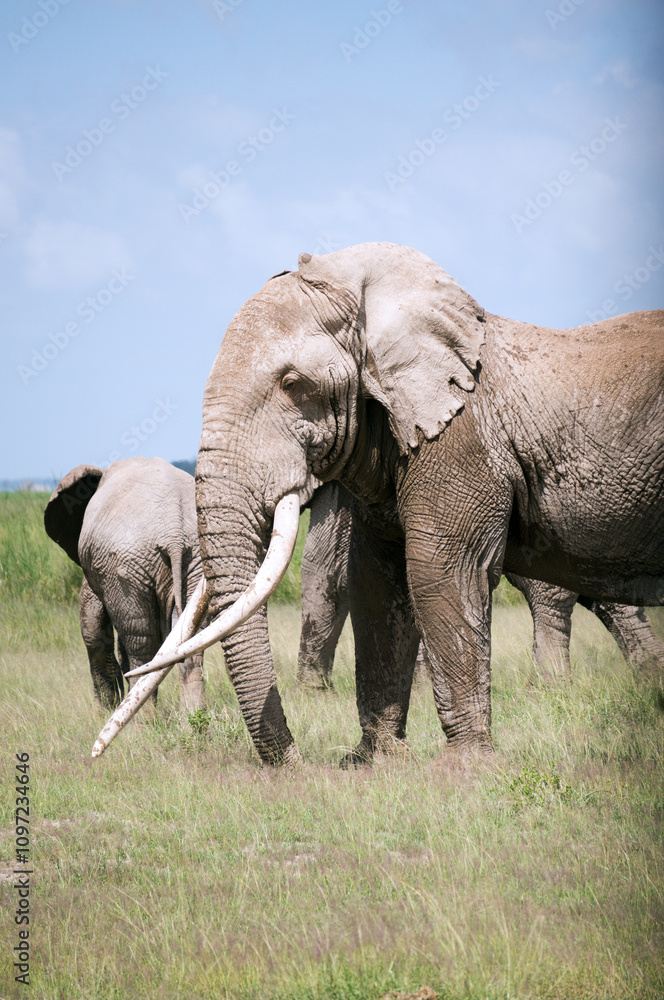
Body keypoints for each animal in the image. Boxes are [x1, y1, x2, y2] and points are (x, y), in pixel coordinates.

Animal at [45, 457, 206, 713]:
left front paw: (104, 711)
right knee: (189, 638)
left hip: (126, 566)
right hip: (194, 560)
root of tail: (173, 533)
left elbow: (92, 627)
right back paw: (193, 721)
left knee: (141, 640)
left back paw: (143, 720)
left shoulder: (102, 567)